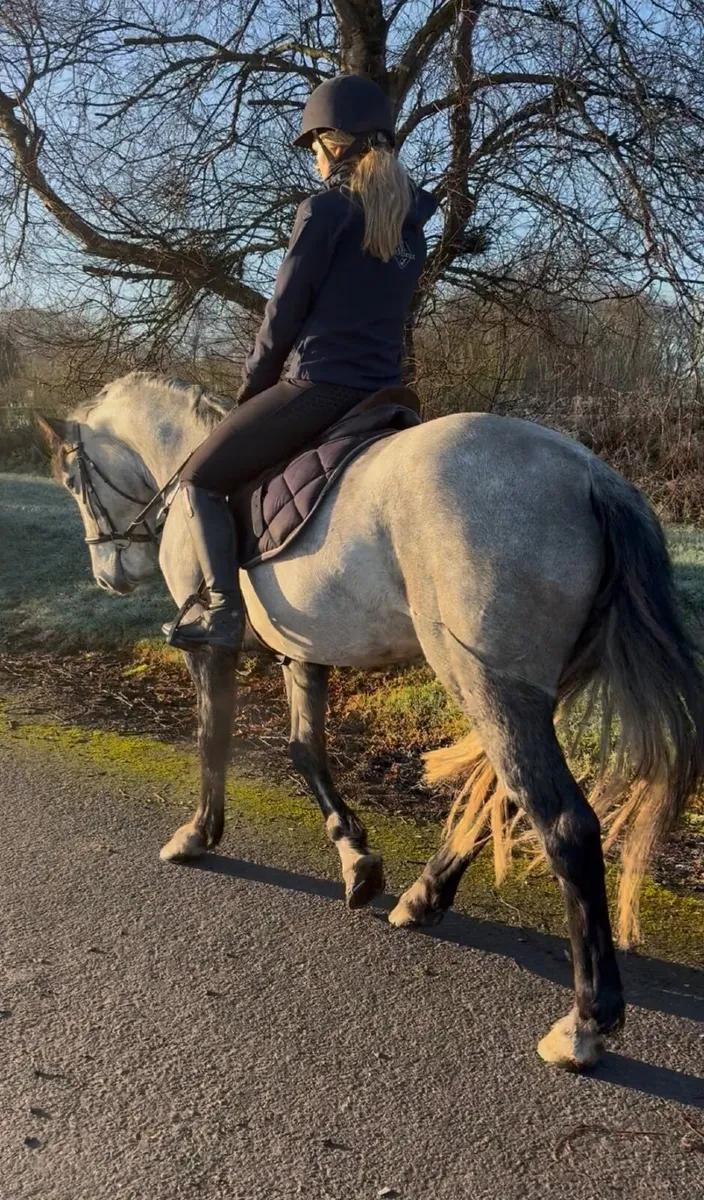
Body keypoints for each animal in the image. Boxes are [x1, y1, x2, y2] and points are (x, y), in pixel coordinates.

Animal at [38, 371, 704, 1072]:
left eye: (73, 480)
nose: (108, 576)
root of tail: (590, 474)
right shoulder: (302, 652)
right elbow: (305, 749)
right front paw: (357, 861)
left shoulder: (212, 648)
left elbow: (212, 738)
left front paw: (197, 835)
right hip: (516, 690)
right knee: (505, 793)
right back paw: (423, 899)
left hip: (489, 685)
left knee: (565, 824)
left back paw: (584, 1024)